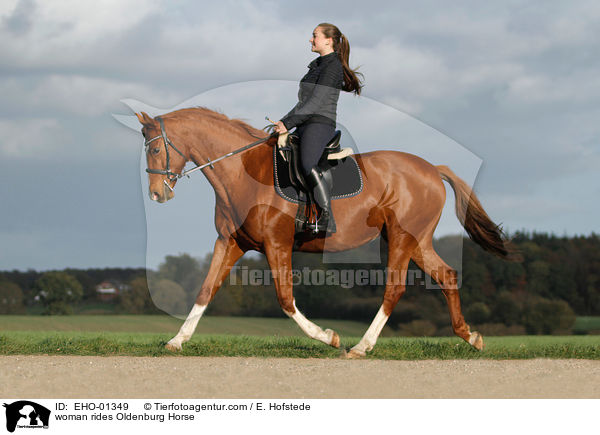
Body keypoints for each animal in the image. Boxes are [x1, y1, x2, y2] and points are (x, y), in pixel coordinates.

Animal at [134, 106, 508, 358]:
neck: (243, 173)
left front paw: (329, 337)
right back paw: (470, 337)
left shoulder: (277, 243)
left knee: (394, 289)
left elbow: (285, 299)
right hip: (415, 241)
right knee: (446, 276)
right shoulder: (231, 242)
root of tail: (432, 168)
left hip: (403, 238)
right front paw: (178, 340)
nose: (156, 195)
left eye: (154, 148)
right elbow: (206, 290)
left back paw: (361, 346)